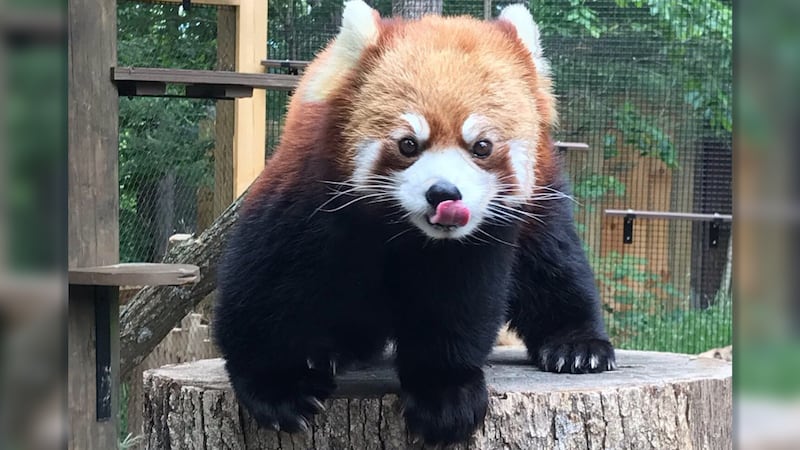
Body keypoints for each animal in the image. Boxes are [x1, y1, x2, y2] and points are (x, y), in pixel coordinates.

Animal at [213, 1, 616, 445]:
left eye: (482, 146)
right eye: (409, 144)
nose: (444, 193)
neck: (405, 228)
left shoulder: (478, 239)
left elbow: (456, 304)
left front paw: (445, 394)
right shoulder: (307, 195)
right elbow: (265, 284)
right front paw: (277, 387)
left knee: (553, 259)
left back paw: (576, 345)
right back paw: (333, 350)